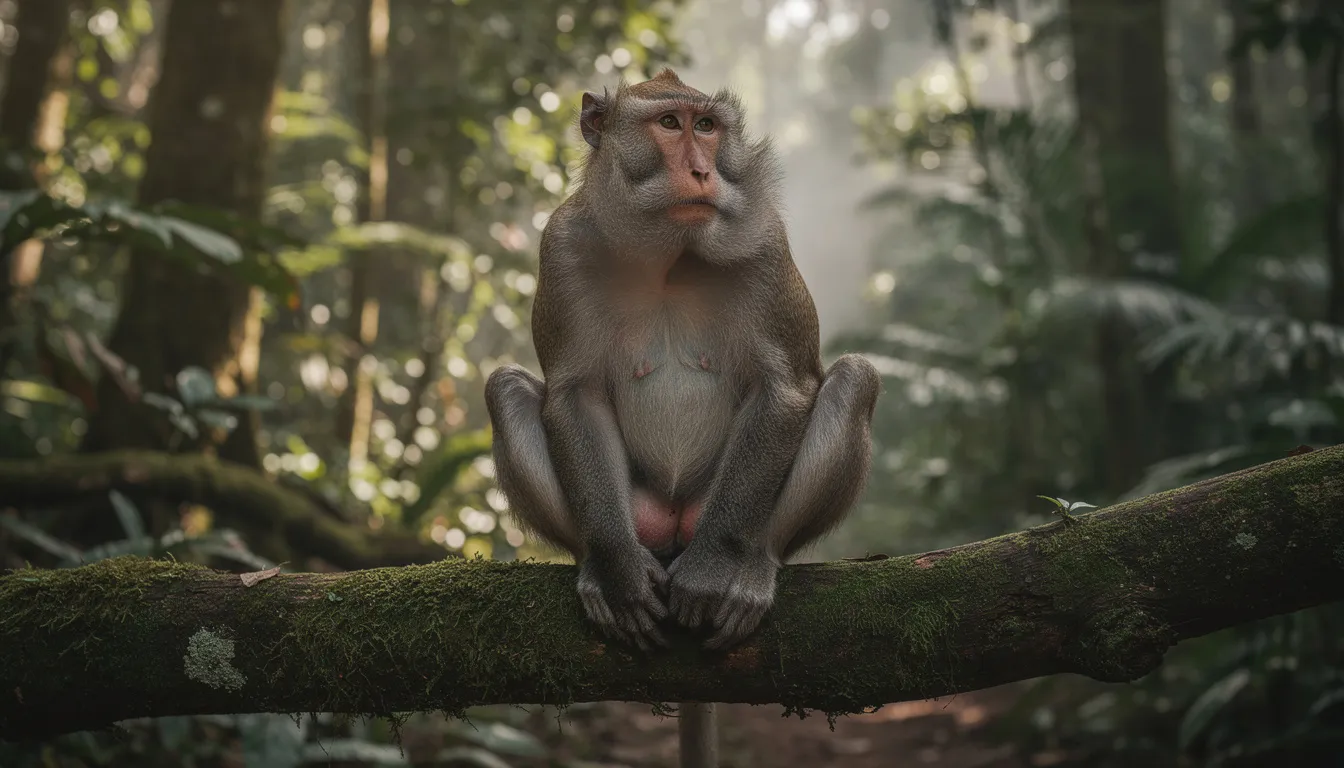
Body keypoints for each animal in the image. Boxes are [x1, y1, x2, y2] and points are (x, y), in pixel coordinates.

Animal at [484, 68, 880, 768]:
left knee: (854, 381)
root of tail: (673, 529)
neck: (668, 252)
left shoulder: (765, 241)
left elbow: (784, 388)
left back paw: (750, 566)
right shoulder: (562, 246)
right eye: (670, 124)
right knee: (506, 391)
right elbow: (573, 395)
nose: (702, 170)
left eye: (709, 127)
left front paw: (712, 570)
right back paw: (596, 566)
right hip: (641, 516)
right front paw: (617, 570)